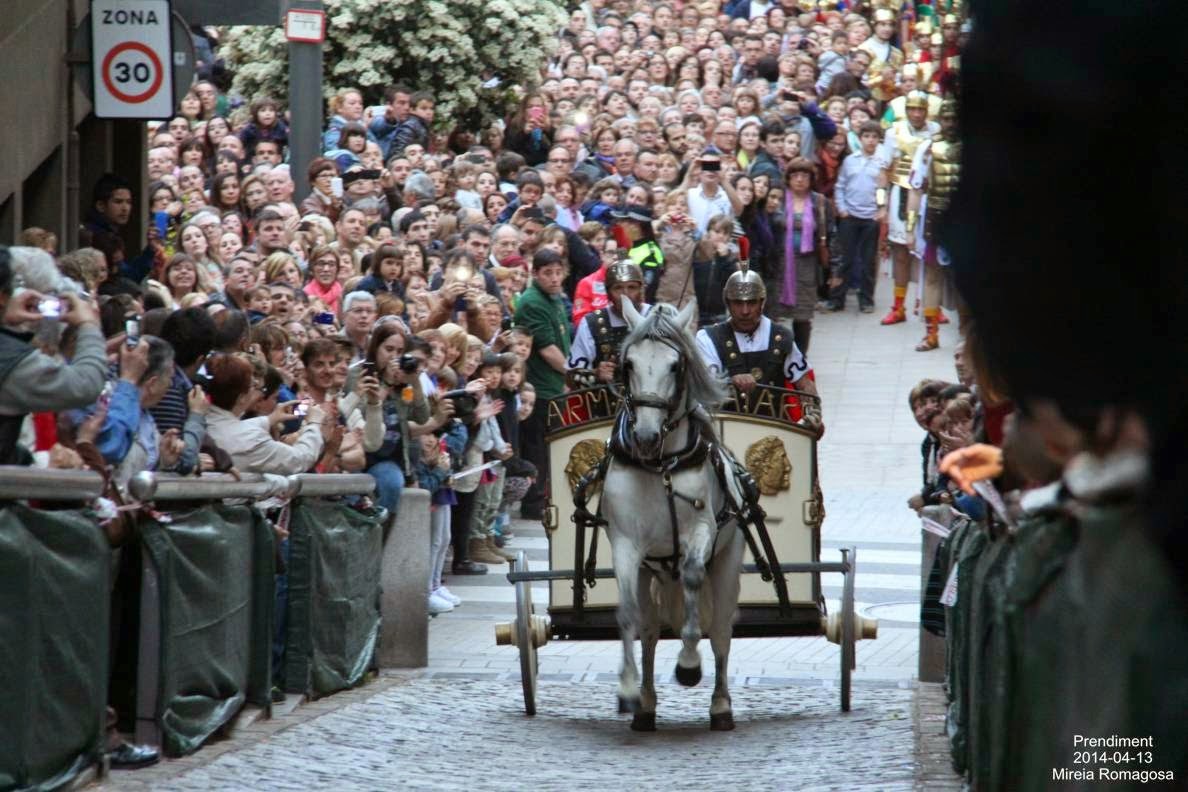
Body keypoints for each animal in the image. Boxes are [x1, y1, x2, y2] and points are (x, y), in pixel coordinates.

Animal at [603, 301, 741, 731]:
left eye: (676, 366)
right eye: (628, 363)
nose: (646, 437)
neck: (660, 466)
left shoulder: (702, 531)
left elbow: (694, 577)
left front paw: (688, 663)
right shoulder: (626, 544)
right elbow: (627, 613)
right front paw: (627, 688)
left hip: (729, 561)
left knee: (721, 631)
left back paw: (721, 705)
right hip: (653, 571)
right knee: (649, 631)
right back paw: (646, 704)